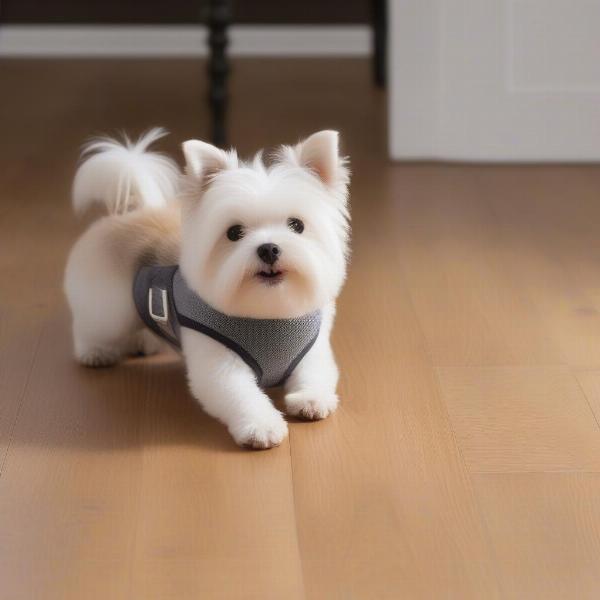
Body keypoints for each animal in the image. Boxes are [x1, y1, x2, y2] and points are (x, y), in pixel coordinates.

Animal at [63, 129, 350, 448]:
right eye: (234, 233)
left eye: (296, 225)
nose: (269, 248)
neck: (267, 314)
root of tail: (135, 210)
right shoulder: (220, 367)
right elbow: (242, 396)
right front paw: (261, 426)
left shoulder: (313, 352)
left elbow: (316, 375)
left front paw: (311, 400)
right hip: (110, 308)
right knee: (90, 327)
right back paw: (95, 353)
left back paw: (145, 342)